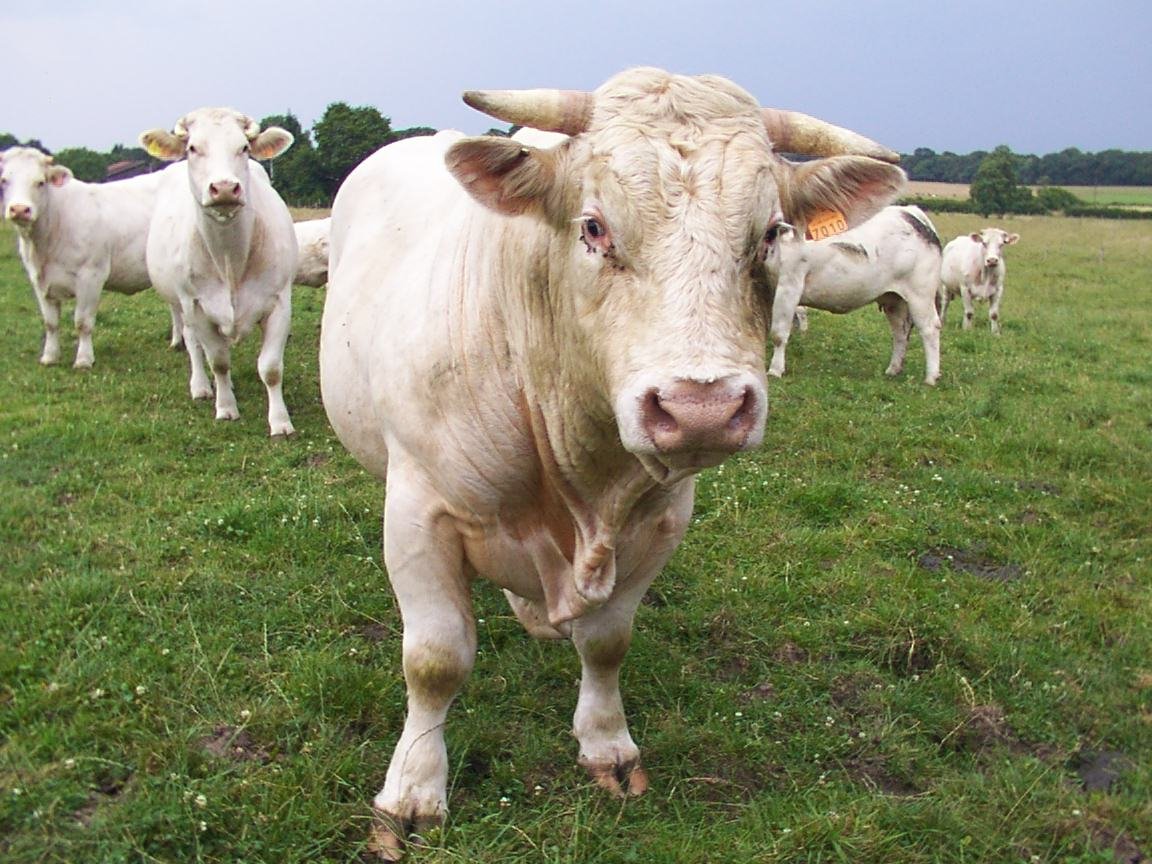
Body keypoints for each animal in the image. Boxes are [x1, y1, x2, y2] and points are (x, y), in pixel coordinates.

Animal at [0, 146, 168, 368]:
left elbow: (83, 322)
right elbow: (50, 323)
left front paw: (84, 360)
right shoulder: (39, 280)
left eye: (40, 182)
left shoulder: (91, 277)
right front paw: (49, 357)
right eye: (4, 180)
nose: (19, 209)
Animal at [140, 111, 297, 435]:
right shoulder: (198, 306)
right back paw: (201, 387)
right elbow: (219, 361)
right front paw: (225, 408)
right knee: (192, 343)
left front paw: (280, 422)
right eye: (192, 148)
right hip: (182, 302)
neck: (230, 261)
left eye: (244, 148)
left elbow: (271, 368)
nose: (224, 187)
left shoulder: (280, 302)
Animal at [317, 67, 907, 861]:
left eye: (771, 233)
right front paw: (413, 789)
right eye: (594, 227)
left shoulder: (659, 522)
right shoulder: (421, 512)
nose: (701, 407)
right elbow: (435, 659)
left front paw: (606, 745)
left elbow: (606, 642)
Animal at [769, 205, 940, 384]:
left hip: (920, 294)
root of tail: (908, 211)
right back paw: (893, 369)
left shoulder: (789, 284)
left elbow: (778, 333)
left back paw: (931, 377)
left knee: (929, 328)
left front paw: (775, 370)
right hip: (894, 300)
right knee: (900, 331)